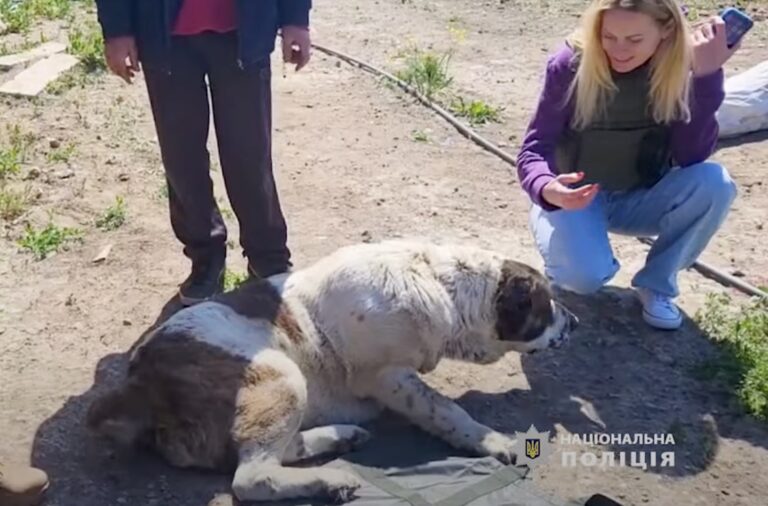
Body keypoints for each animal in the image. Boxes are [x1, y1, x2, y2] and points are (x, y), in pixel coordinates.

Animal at [87, 239, 576, 504]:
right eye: (546, 305)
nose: (573, 322)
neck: (446, 291)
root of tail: (137, 381)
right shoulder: (389, 377)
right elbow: (446, 410)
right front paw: (492, 441)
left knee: (270, 452)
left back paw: (341, 436)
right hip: (280, 375)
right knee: (252, 477)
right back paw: (332, 478)